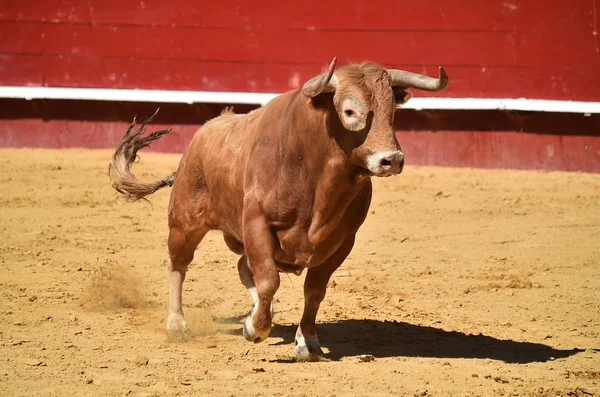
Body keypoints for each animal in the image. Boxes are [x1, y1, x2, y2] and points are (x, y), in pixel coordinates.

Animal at [108, 58, 448, 358]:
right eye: (350, 111)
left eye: (392, 111)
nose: (391, 159)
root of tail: (206, 131)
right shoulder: (257, 223)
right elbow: (270, 279)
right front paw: (255, 329)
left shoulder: (341, 242)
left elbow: (313, 290)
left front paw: (307, 343)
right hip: (184, 221)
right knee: (178, 264)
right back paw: (177, 324)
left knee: (243, 267)